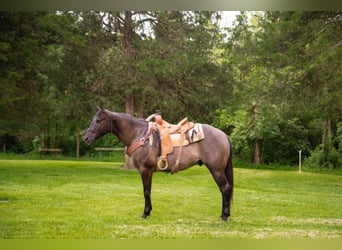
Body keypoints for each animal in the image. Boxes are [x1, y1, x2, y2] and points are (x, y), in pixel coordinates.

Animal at [84, 105, 234, 221]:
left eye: (98, 120)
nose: (86, 138)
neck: (140, 135)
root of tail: (224, 135)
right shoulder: (148, 171)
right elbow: (149, 190)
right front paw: (148, 211)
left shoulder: (145, 169)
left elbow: (146, 191)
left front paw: (145, 213)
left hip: (216, 170)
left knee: (225, 188)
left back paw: (224, 216)